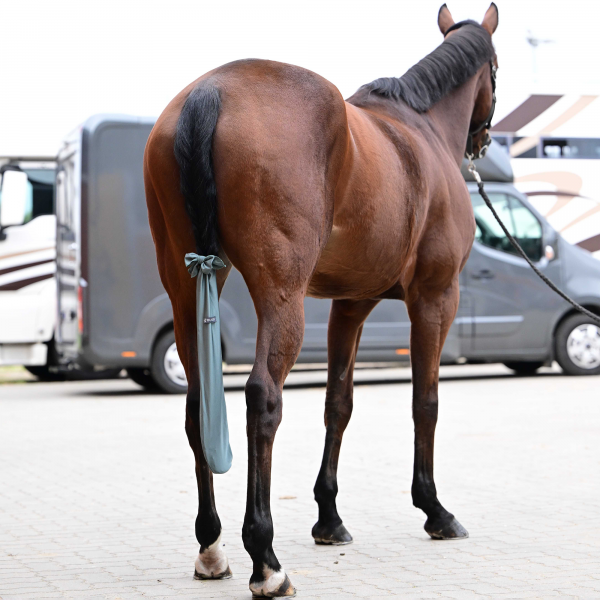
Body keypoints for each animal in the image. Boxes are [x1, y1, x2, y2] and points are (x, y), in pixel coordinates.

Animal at [145, 3, 502, 596]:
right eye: (495, 70)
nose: (482, 140)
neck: (422, 130)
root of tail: (211, 90)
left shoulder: (350, 305)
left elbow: (339, 403)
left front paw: (329, 519)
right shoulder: (435, 297)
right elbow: (425, 402)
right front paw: (435, 509)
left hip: (186, 288)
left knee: (199, 406)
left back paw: (212, 548)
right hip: (281, 296)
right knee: (262, 399)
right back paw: (265, 560)